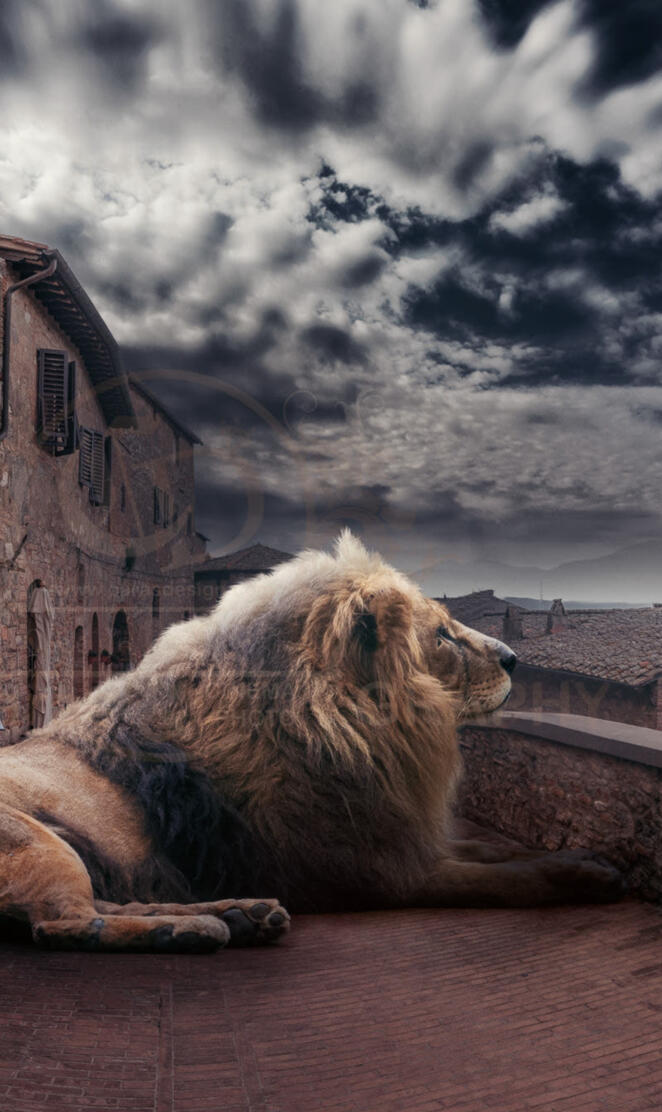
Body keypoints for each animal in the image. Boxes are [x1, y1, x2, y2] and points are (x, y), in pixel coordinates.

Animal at [0, 532, 621, 952]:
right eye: (442, 635)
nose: (514, 658)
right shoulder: (382, 872)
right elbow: (508, 879)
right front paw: (586, 874)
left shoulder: (398, 835)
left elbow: (495, 851)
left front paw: (579, 854)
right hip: (37, 841)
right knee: (64, 923)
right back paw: (193, 930)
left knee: (103, 903)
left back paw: (244, 914)